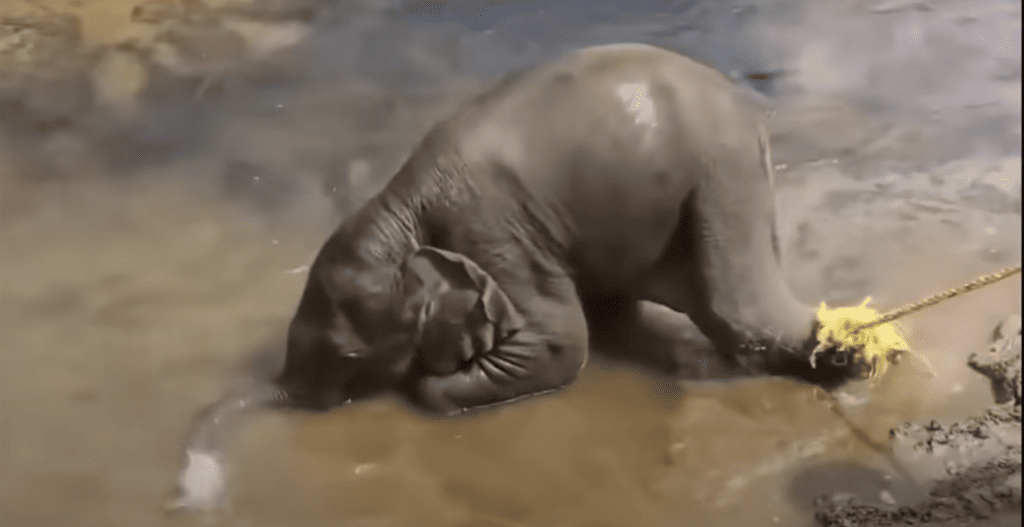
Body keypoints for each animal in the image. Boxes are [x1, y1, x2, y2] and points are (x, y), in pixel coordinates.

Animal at [167, 42, 865, 512]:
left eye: (344, 356)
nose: (188, 493)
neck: (401, 208)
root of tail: (749, 113)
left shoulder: (496, 236)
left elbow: (560, 345)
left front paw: (426, 382)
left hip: (721, 179)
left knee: (733, 307)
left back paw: (852, 359)